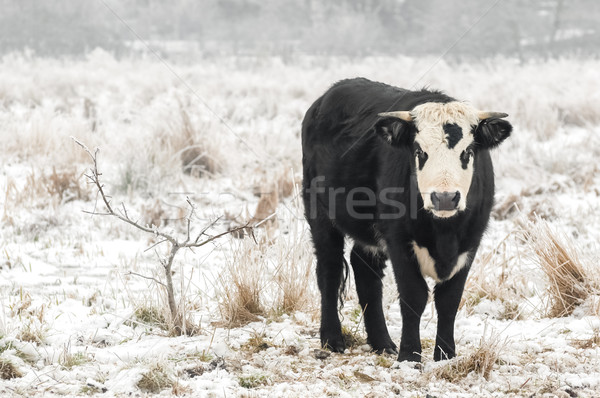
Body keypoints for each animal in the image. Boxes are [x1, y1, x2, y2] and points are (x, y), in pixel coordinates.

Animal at [300, 77, 510, 360]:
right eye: (419, 151)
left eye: (467, 152)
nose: (444, 198)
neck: (444, 234)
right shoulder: (399, 239)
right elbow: (414, 296)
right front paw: (410, 356)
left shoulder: (470, 242)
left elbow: (449, 300)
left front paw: (445, 355)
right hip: (319, 213)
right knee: (329, 270)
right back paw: (332, 339)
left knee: (365, 270)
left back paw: (382, 342)